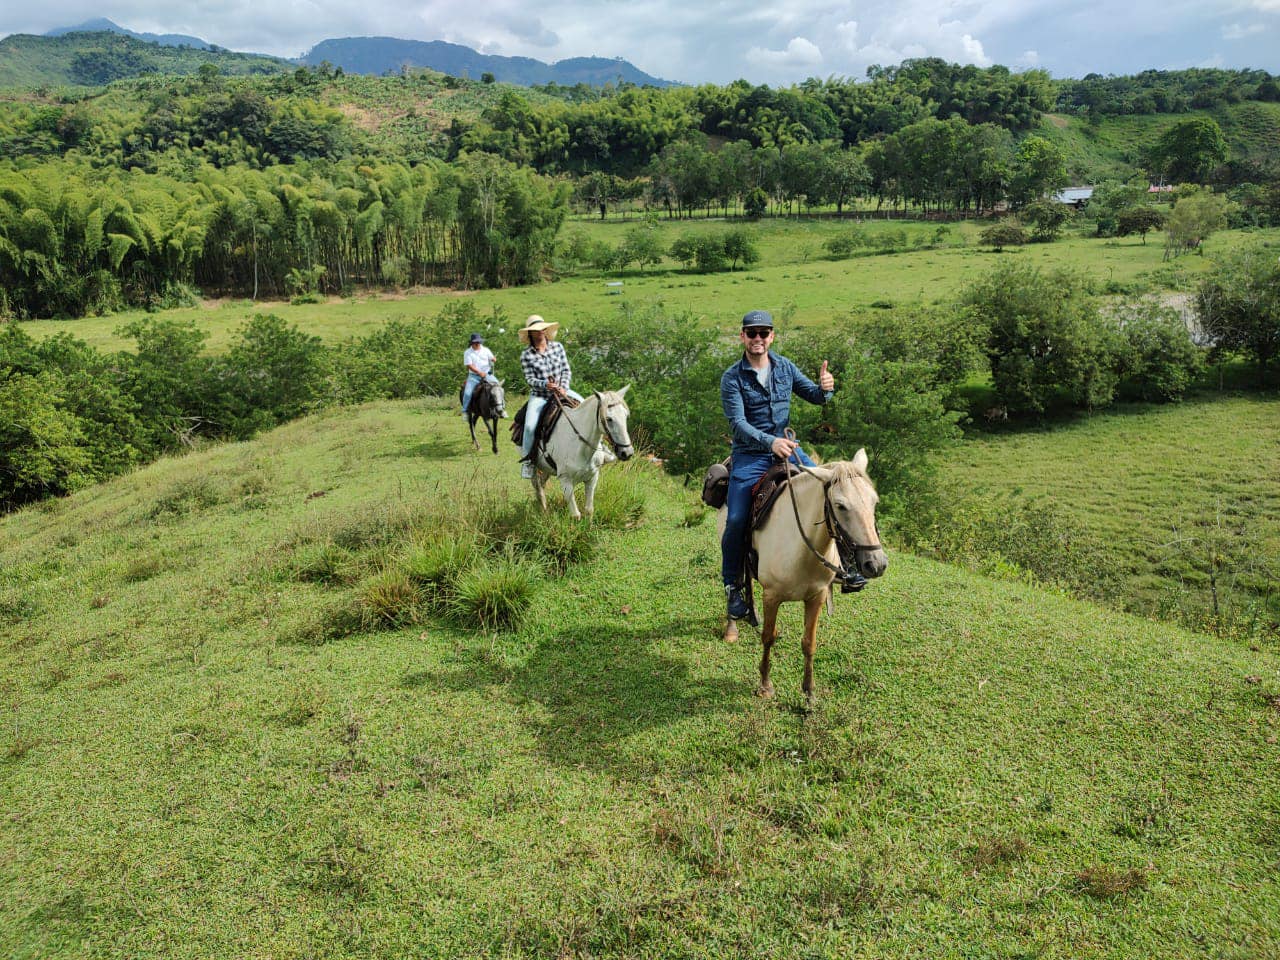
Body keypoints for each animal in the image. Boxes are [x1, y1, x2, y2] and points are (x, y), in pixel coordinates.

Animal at [527, 386, 632, 519]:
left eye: (626, 416)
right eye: (609, 419)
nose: (627, 452)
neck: (580, 447)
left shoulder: (592, 478)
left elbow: (589, 510)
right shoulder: (565, 480)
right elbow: (575, 515)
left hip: (546, 468)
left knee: (541, 484)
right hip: (534, 465)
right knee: (537, 486)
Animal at [721, 450, 890, 706]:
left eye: (874, 502)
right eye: (840, 506)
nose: (877, 564)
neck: (802, 546)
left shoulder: (816, 597)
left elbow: (809, 643)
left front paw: (809, 693)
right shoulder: (772, 596)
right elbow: (768, 638)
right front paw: (765, 686)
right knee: (733, 581)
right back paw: (733, 624)